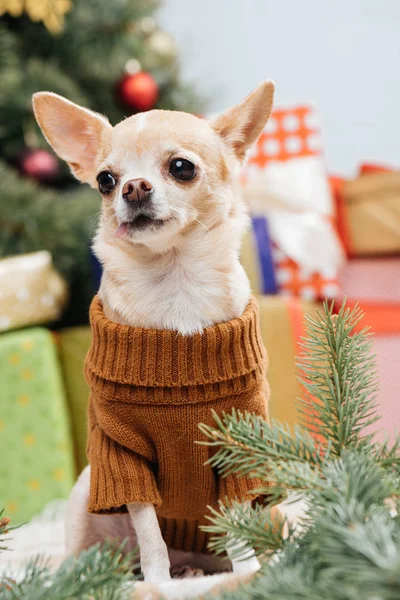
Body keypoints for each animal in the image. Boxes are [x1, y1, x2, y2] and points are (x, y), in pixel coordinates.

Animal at [32, 82, 274, 584]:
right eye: (105, 179)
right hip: (87, 493)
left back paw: (206, 571)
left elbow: (234, 519)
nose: (133, 187)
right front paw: (159, 584)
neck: (175, 279)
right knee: (87, 557)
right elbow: (149, 533)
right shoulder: (124, 458)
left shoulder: (236, 444)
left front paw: (247, 573)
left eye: (181, 167)